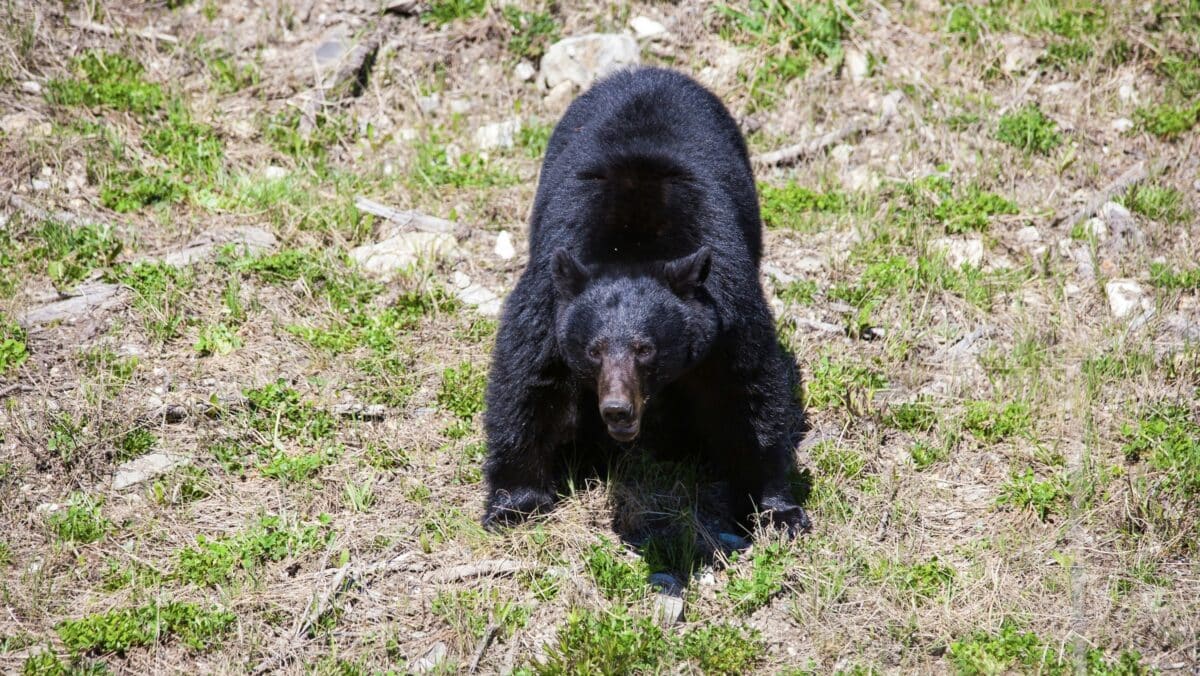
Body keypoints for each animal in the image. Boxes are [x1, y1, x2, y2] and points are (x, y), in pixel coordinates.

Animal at [481, 67, 811, 536]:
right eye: (594, 351)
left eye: (645, 349)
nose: (618, 409)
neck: (631, 247)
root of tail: (649, 71)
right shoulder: (550, 292)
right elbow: (529, 379)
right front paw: (515, 504)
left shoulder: (726, 301)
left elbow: (746, 389)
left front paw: (775, 510)